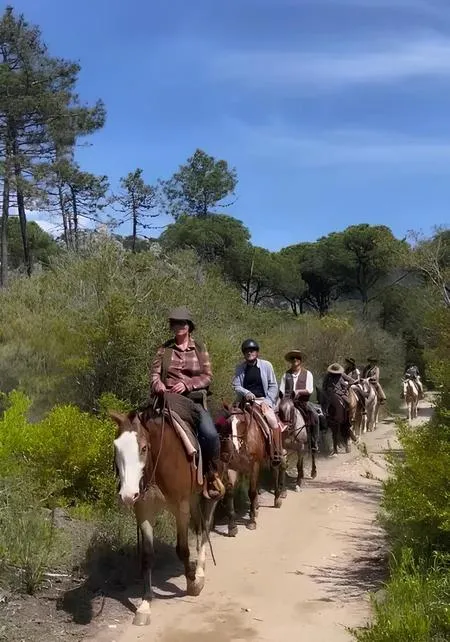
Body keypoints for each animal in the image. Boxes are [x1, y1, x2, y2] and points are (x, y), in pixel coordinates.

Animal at [110, 408, 218, 626]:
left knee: (204, 528)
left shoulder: (181, 508)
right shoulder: (144, 510)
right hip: (194, 500)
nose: (127, 495)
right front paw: (145, 605)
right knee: (200, 527)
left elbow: (183, 549)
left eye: (143, 448)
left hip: (204, 496)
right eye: (116, 448)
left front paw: (192, 583)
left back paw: (200, 572)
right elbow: (147, 557)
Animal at [216, 402, 282, 537]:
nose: (233, 447)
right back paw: (255, 507)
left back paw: (277, 499)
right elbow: (230, 493)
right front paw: (232, 526)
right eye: (227, 423)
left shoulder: (254, 465)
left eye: (242, 422)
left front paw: (251, 522)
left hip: (273, 457)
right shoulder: (232, 468)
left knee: (275, 472)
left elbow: (251, 492)